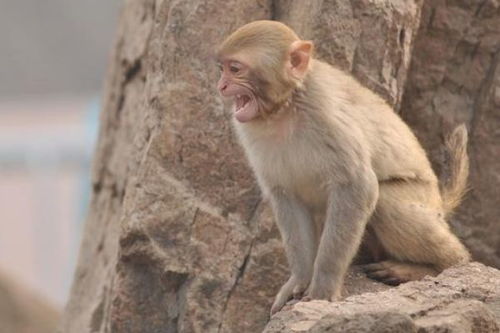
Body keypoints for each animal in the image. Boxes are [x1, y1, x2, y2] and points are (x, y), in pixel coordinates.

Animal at [216, 20, 472, 314]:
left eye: (236, 69)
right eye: (222, 68)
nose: (221, 86)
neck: (284, 108)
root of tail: (440, 201)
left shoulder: (327, 116)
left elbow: (357, 187)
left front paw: (323, 289)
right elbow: (286, 197)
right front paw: (300, 279)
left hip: (424, 201)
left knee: (385, 202)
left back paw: (439, 266)